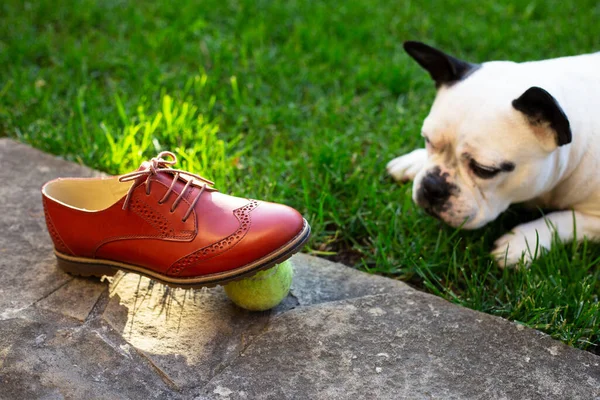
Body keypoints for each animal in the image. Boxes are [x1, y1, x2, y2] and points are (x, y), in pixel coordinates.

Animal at [386, 40, 600, 268]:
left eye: (484, 170)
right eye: (427, 140)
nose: (432, 186)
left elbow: (565, 219)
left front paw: (522, 241)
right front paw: (414, 160)